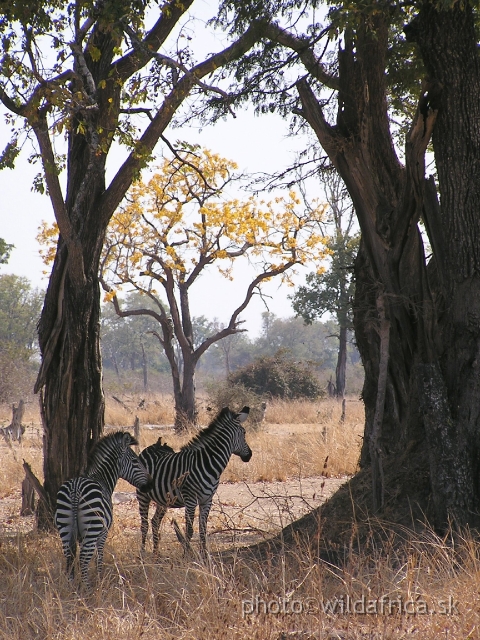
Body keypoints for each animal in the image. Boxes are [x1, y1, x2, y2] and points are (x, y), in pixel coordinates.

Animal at [54, 432, 153, 588]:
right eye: (135, 461)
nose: (150, 484)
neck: (102, 479)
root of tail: (76, 488)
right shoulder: (103, 533)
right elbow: (99, 557)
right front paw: (100, 580)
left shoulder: (82, 536)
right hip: (92, 526)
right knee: (83, 558)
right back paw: (88, 589)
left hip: (65, 526)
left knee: (70, 556)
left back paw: (71, 587)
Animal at [137, 408, 253, 556]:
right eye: (244, 433)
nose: (250, 455)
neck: (208, 463)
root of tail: (155, 445)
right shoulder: (190, 499)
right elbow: (190, 530)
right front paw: (186, 555)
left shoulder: (207, 500)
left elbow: (203, 529)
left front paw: (205, 555)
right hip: (142, 495)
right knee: (144, 524)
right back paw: (142, 554)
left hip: (162, 499)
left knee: (155, 521)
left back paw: (156, 554)